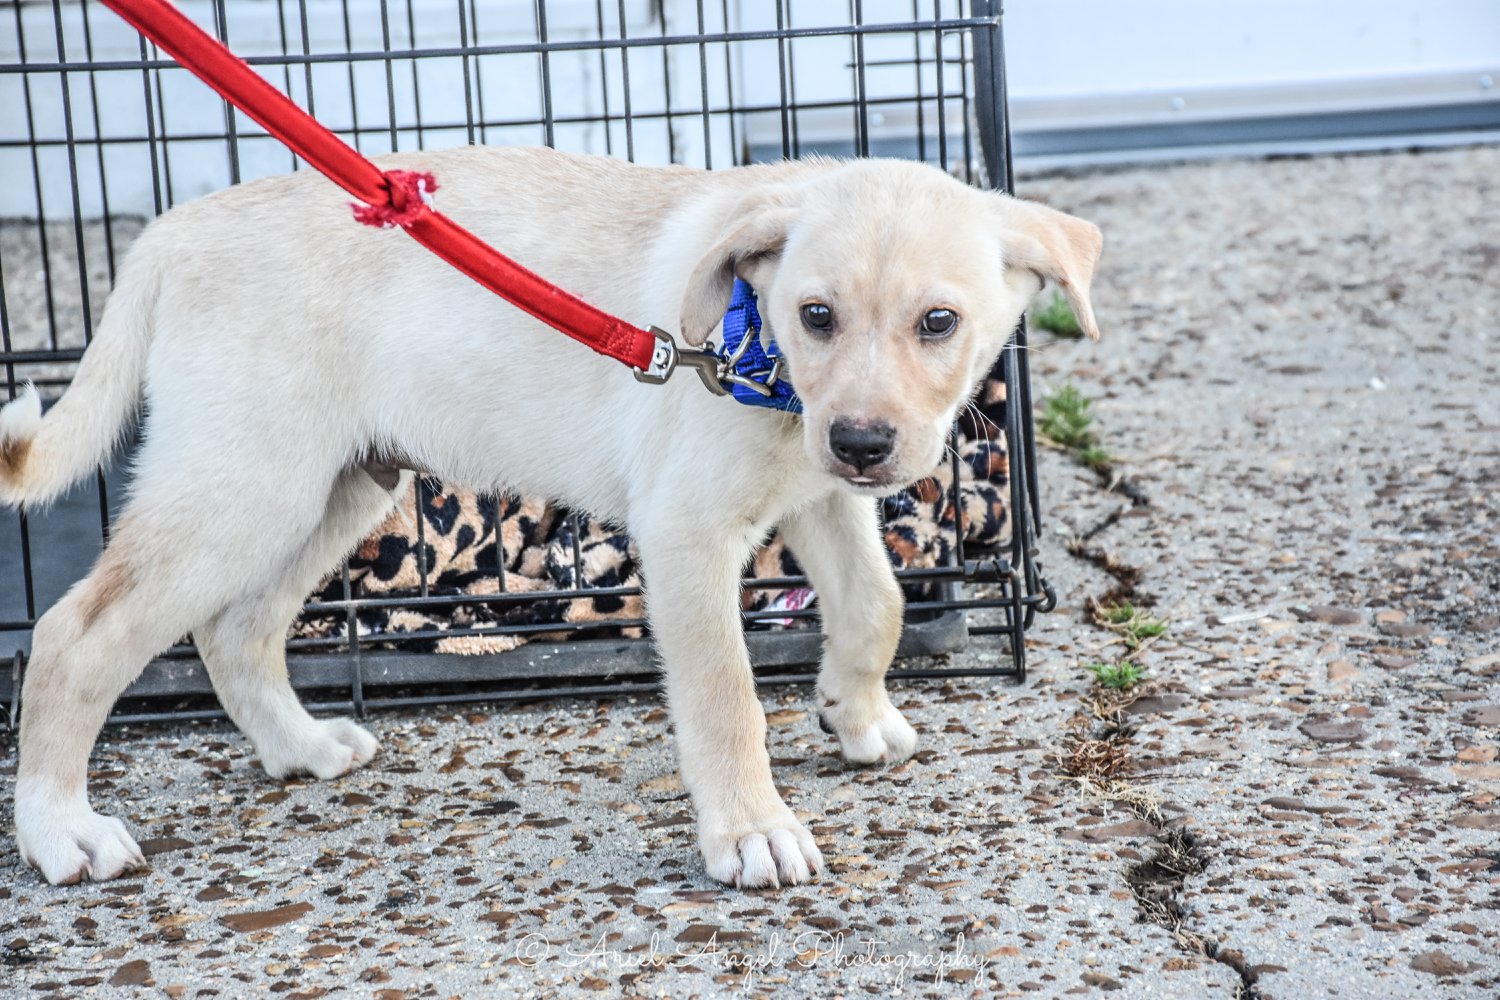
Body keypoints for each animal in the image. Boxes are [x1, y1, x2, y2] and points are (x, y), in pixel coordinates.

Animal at [0, 145, 1100, 888]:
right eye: (817, 315)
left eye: (939, 322)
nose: (866, 442)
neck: (752, 351)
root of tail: (170, 231)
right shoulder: (686, 537)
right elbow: (726, 699)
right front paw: (750, 831)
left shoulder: (822, 496)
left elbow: (877, 605)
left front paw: (856, 712)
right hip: (245, 482)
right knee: (74, 634)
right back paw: (60, 830)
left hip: (336, 487)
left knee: (236, 630)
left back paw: (300, 747)